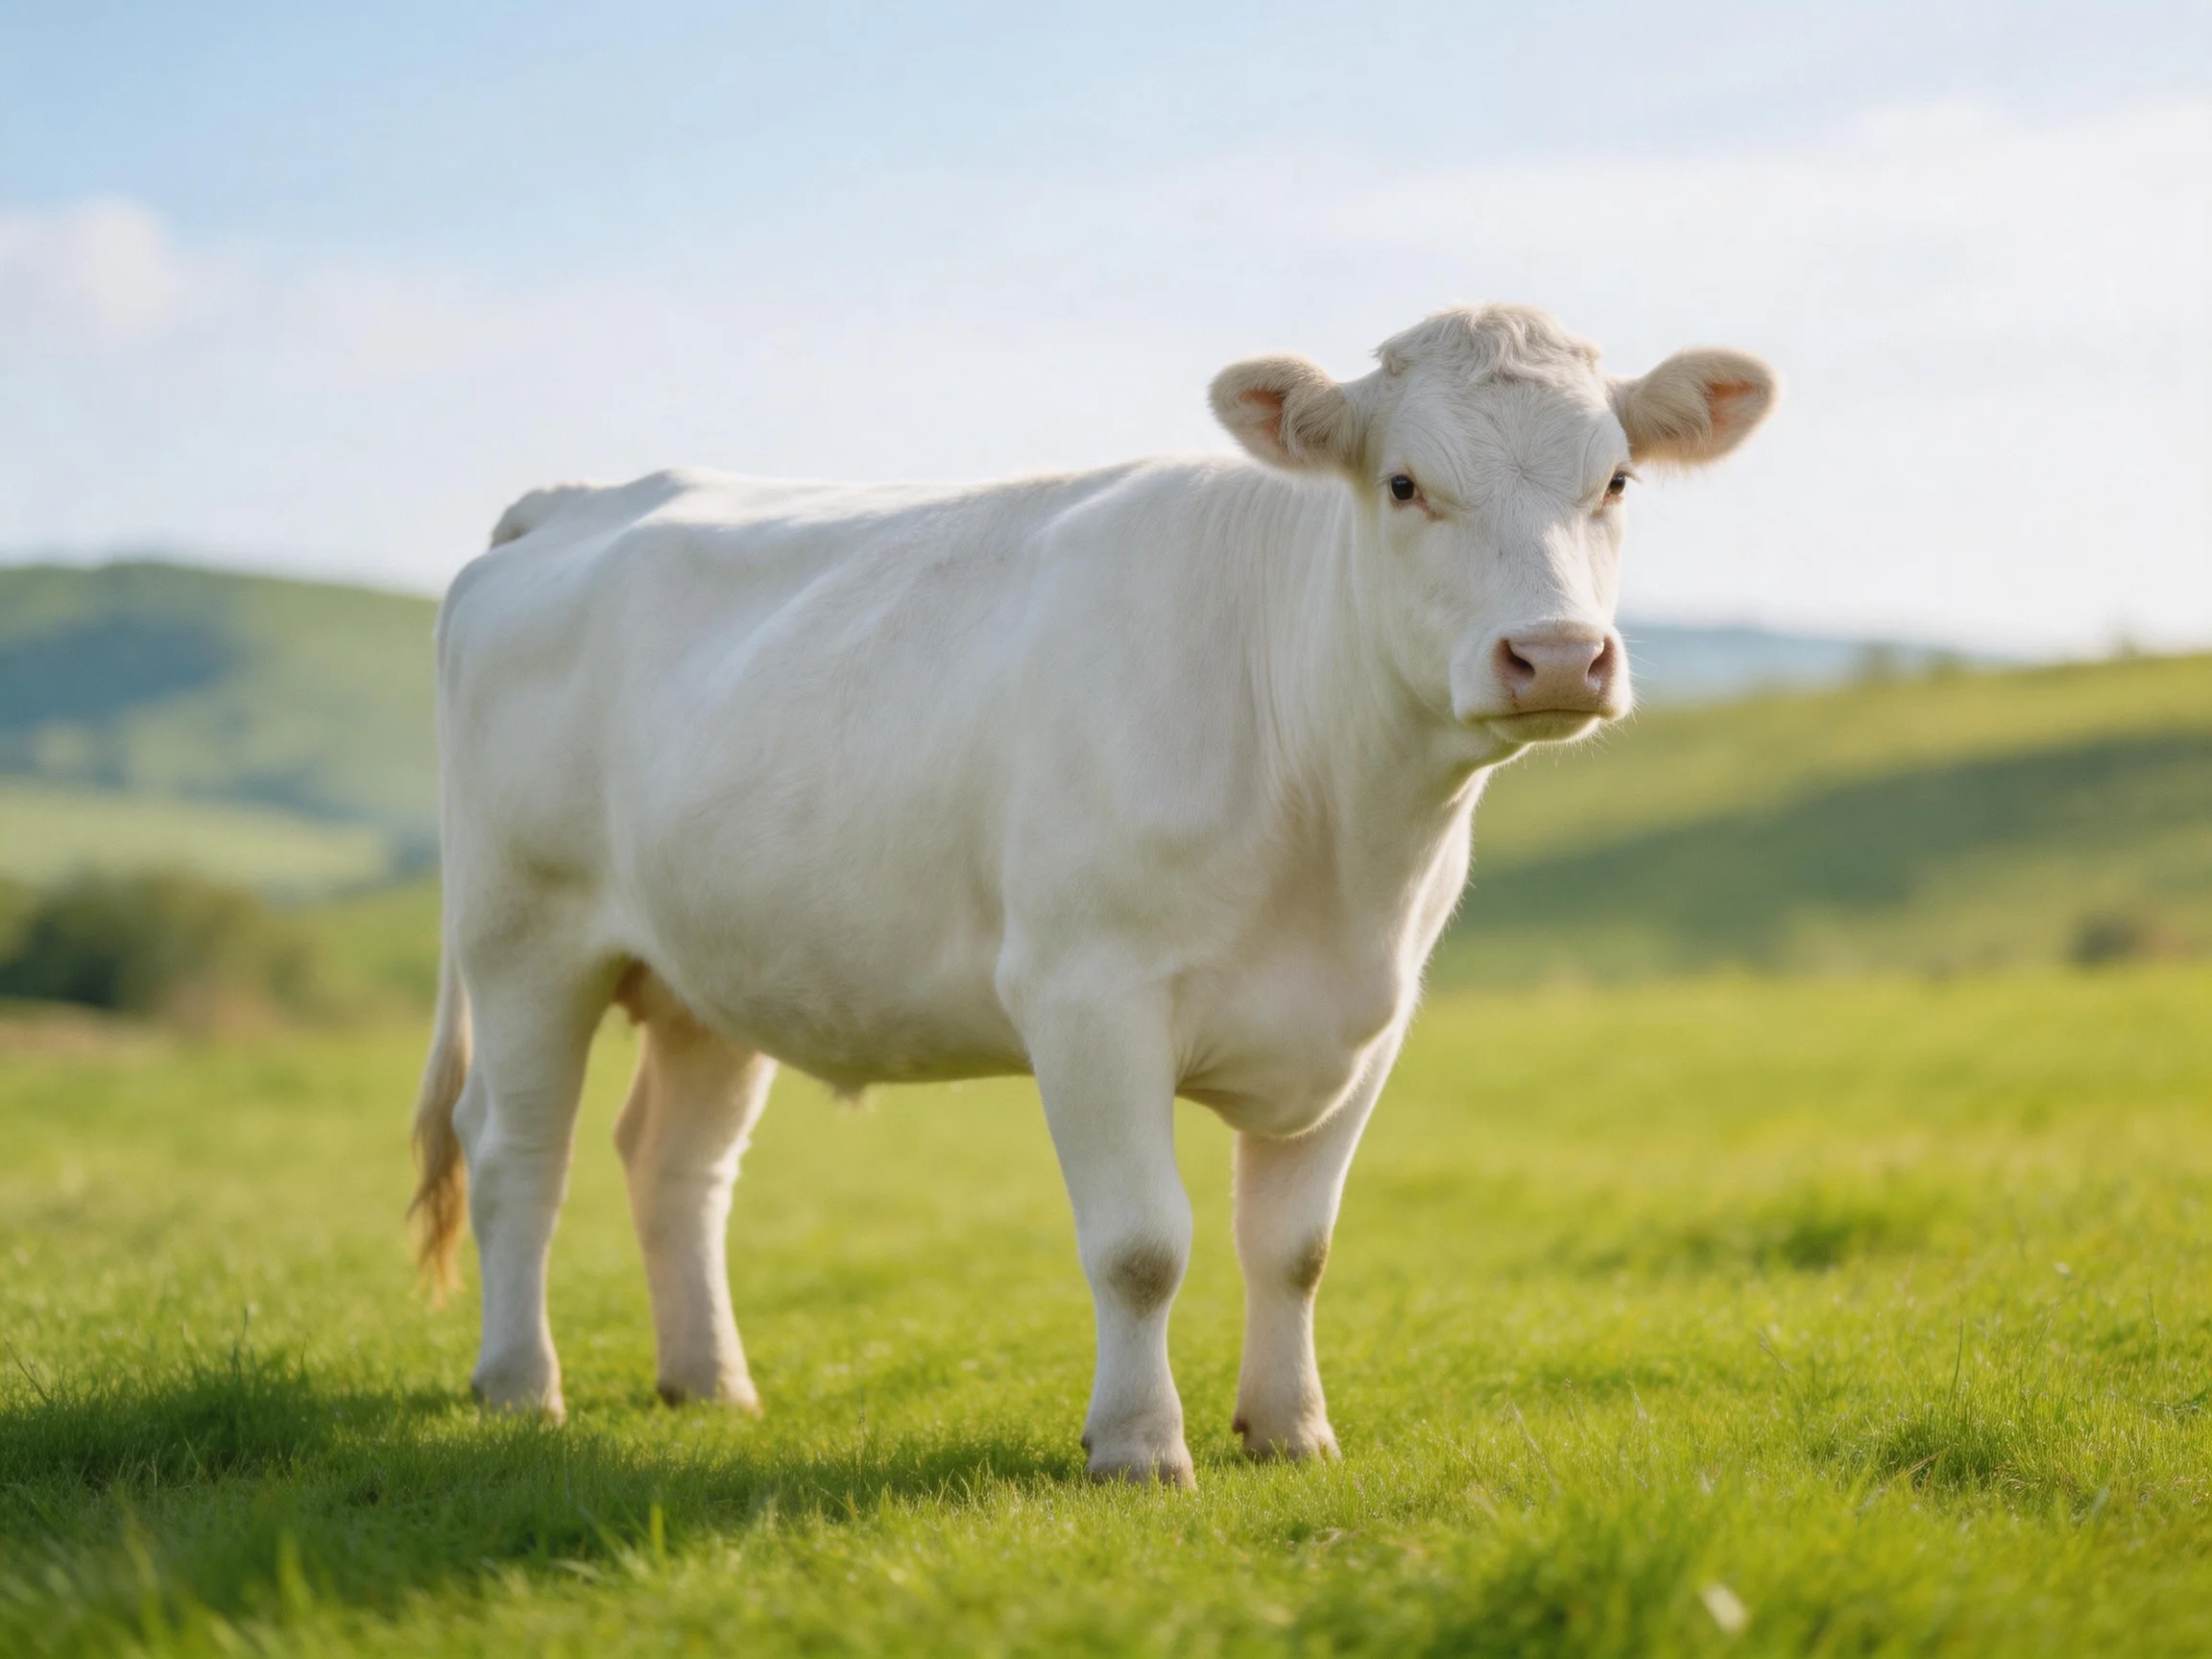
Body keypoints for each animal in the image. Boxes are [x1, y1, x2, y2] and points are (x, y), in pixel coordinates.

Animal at [409, 303, 1775, 1486]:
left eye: (1616, 481)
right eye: (1403, 484)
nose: (1556, 655)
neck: (1339, 843)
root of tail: (576, 503)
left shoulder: (1367, 1022)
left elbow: (1295, 1247)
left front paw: (1292, 1431)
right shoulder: (1086, 997)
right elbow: (1140, 1247)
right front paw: (1138, 1448)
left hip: (713, 970)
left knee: (676, 1165)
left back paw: (711, 1384)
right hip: (524, 935)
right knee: (519, 1151)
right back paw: (521, 1385)